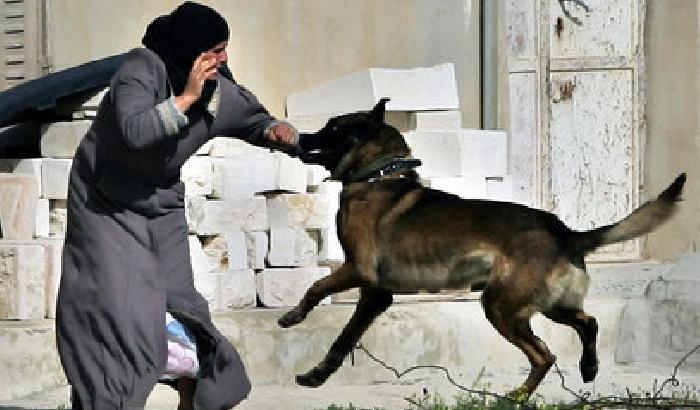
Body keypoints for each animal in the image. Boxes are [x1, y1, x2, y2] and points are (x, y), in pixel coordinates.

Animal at [278, 97, 684, 398]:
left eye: (333, 128)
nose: (298, 137)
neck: (379, 176)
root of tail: (566, 233)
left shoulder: (358, 270)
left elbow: (315, 287)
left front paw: (293, 316)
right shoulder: (376, 295)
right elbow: (343, 340)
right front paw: (316, 376)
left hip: (501, 307)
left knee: (545, 355)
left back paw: (517, 397)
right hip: (549, 305)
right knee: (589, 323)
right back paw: (589, 367)